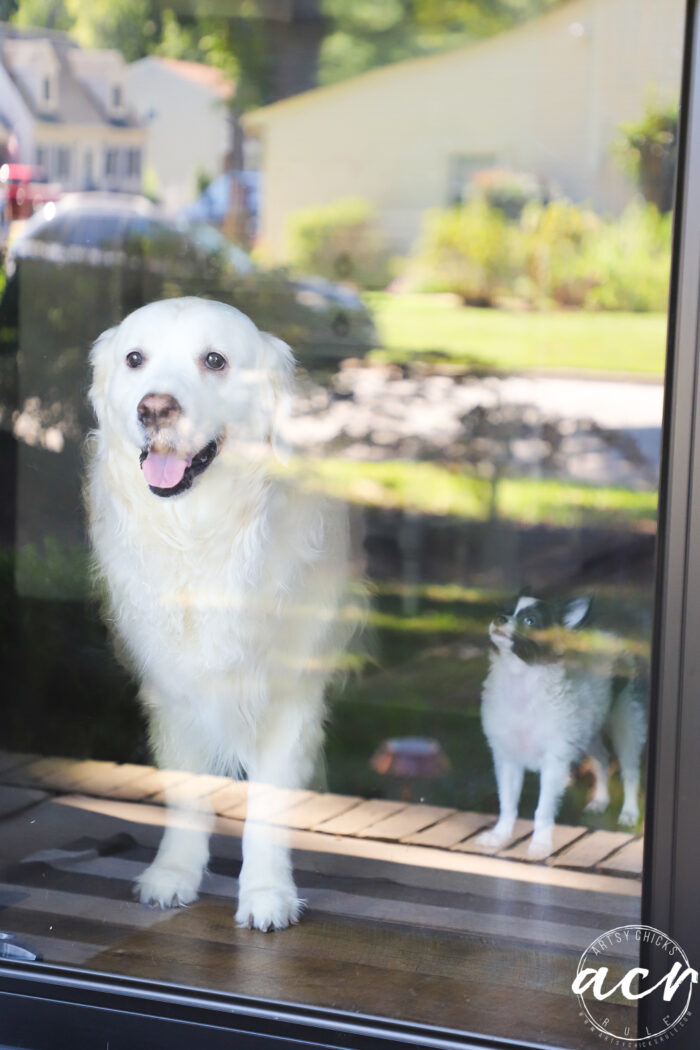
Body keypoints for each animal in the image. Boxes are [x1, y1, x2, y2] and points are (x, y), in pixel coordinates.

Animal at [86, 296, 356, 928]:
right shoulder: (172, 693)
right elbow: (186, 796)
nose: (154, 408)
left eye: (215, 360)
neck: (201, 535)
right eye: (134, 359)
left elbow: (268, 809)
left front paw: (266, 893)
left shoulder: (290, 697)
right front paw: (174, 873)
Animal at [478, 596, 650, 856]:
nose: (499, 618)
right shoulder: (508, 759)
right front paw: (500, 836)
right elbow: (507, 803)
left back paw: (629, 813)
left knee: (630, 770)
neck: (520, 680)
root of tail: (610, 637)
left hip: (628, 722)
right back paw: (600, 800)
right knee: (602, 759)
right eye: (505, 611)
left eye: (530, 621)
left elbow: (543, 809)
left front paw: (539, 844)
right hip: (587, 733)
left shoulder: (554, 762)